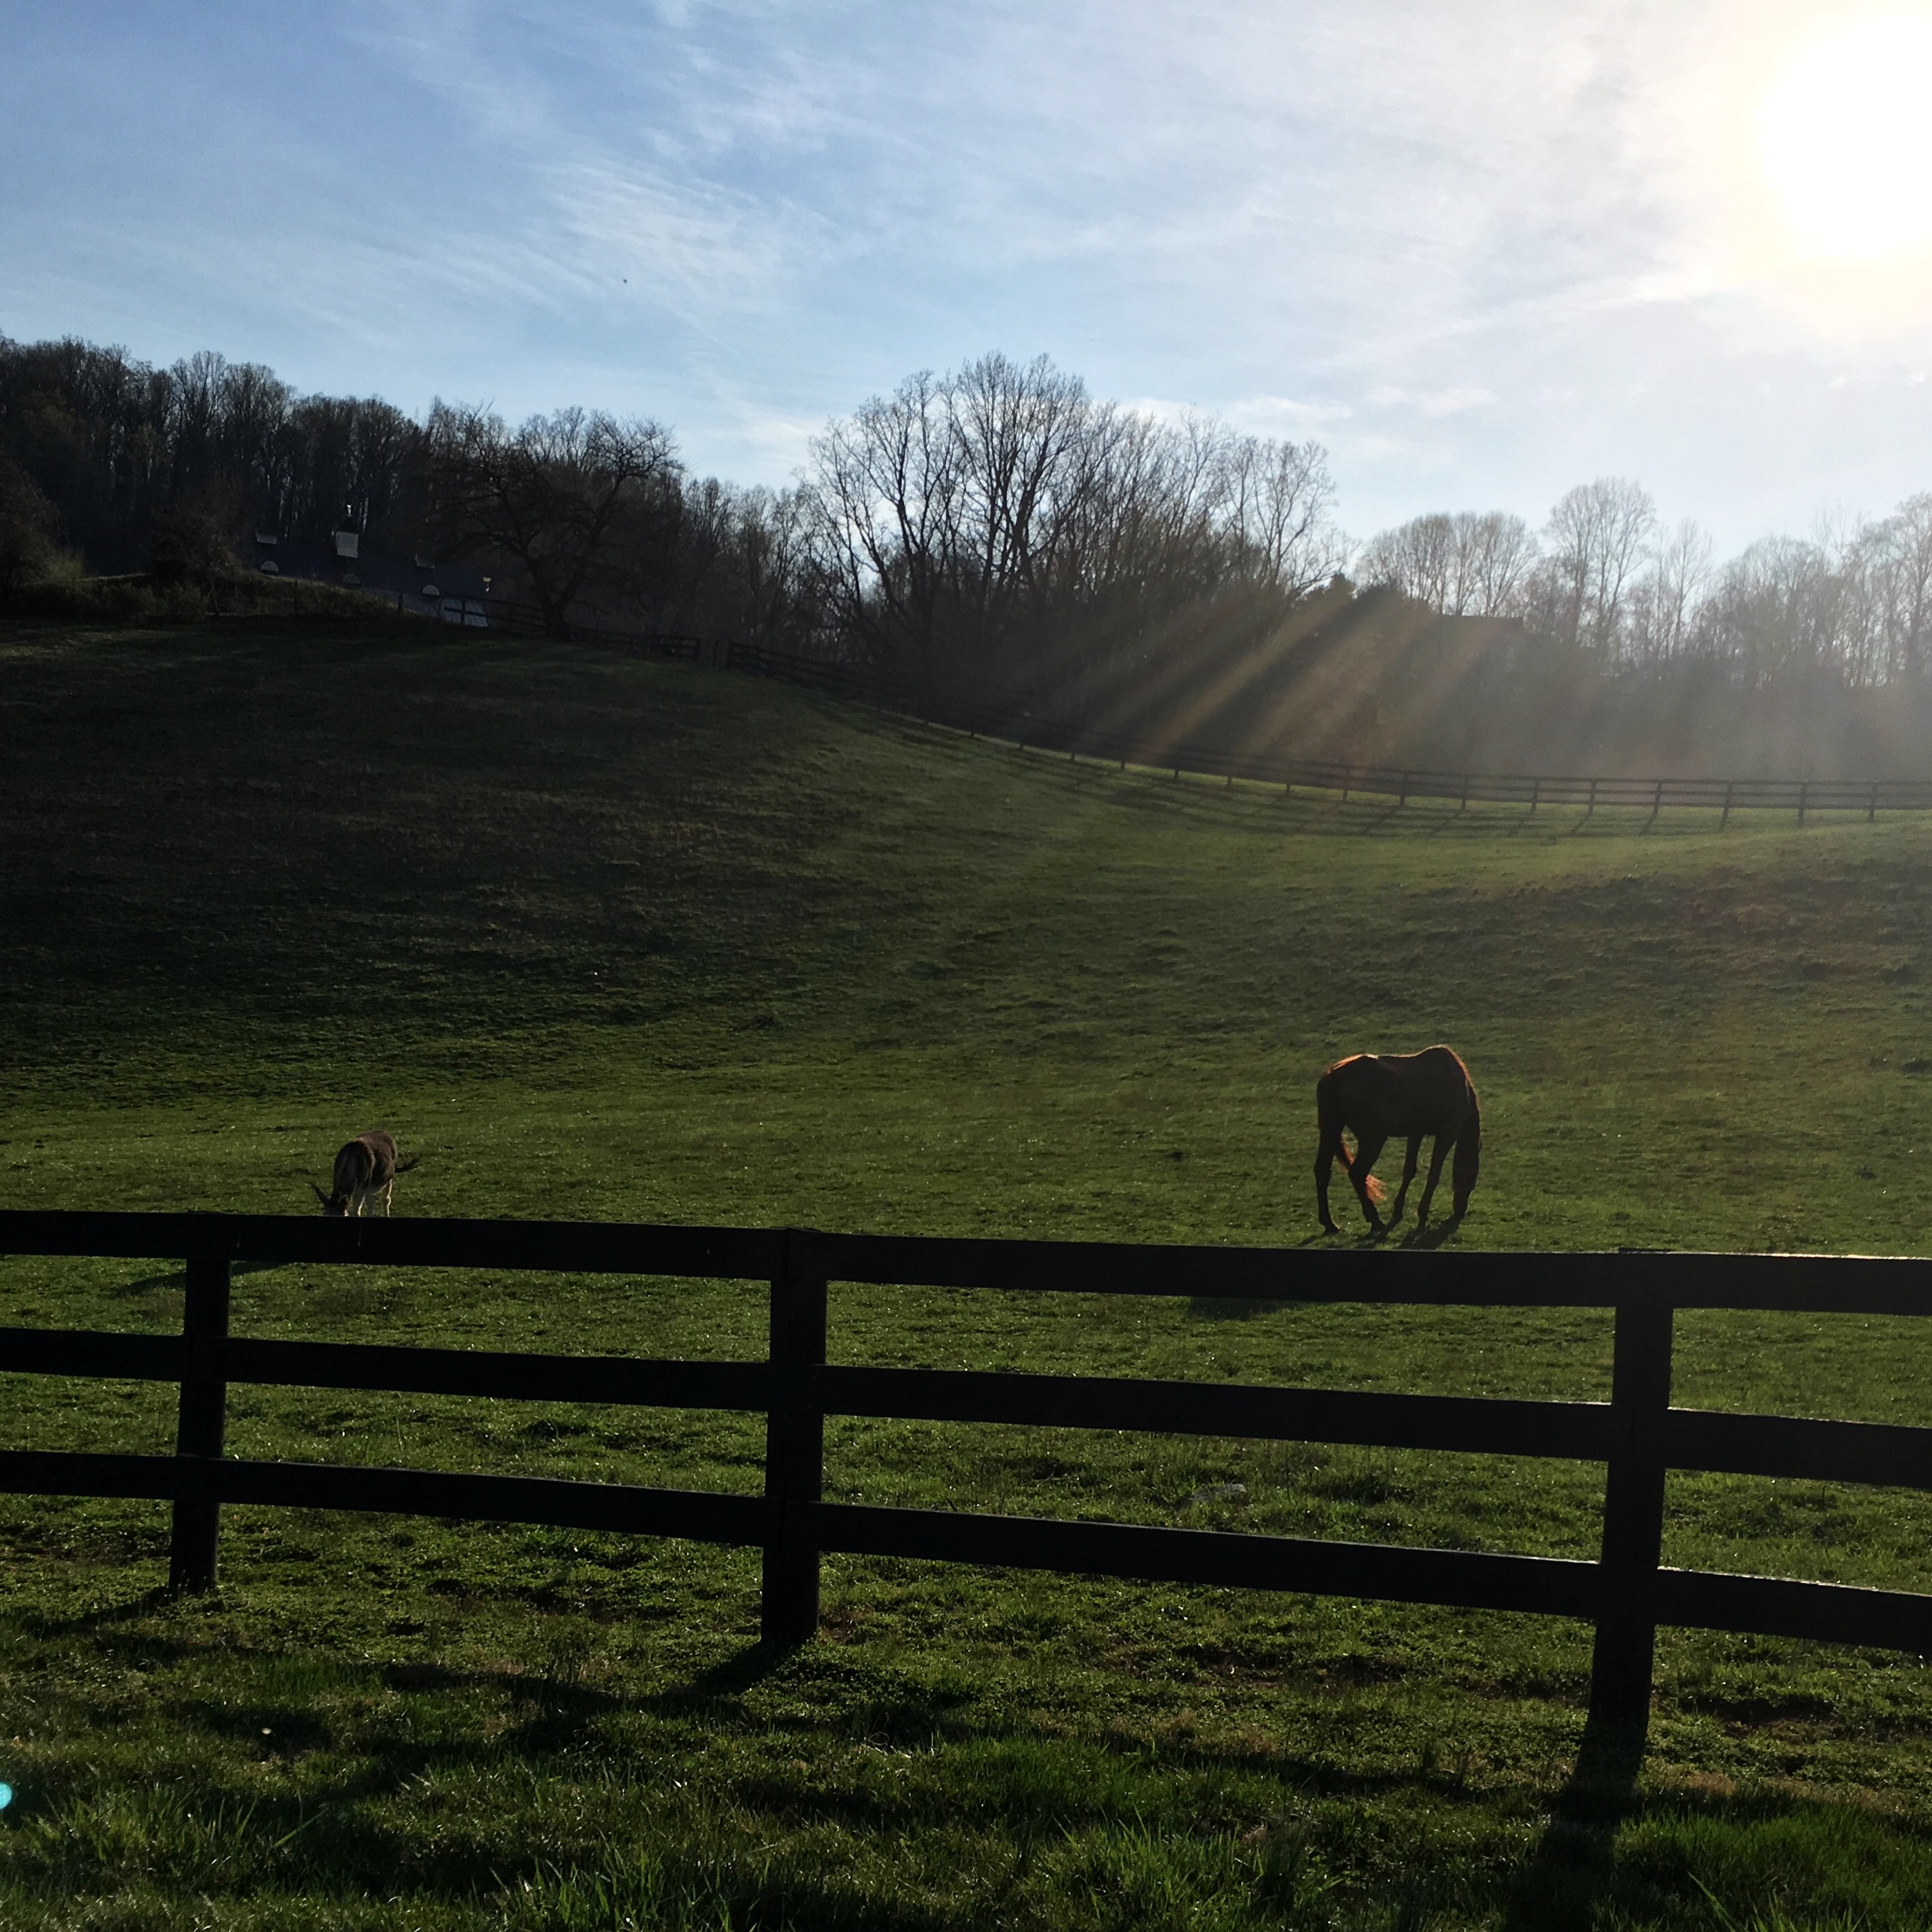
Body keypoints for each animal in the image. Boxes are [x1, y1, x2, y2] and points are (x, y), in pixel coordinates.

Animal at [313, 1130, 404, 1218]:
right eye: (324, 1215)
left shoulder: (362, 1188)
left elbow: (356, 1212)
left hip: (388, 1178)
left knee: (386, 1199)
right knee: (372, 1201)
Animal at [1314, 1046, 1480, 1234]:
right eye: (1473, 1177)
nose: (1461, 1210)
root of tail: (1333, 1077)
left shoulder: (1416, 1133)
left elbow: (1409, 1171)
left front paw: (1398, 1210)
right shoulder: (1447, 1133)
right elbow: (1434, 1174)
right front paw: (1422, 1214)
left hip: (1330, 1132)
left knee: (1322, 1172)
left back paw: (1329, 1222)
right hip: (1373, 1140)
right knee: (1357, 1173)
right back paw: (1374, 1220)